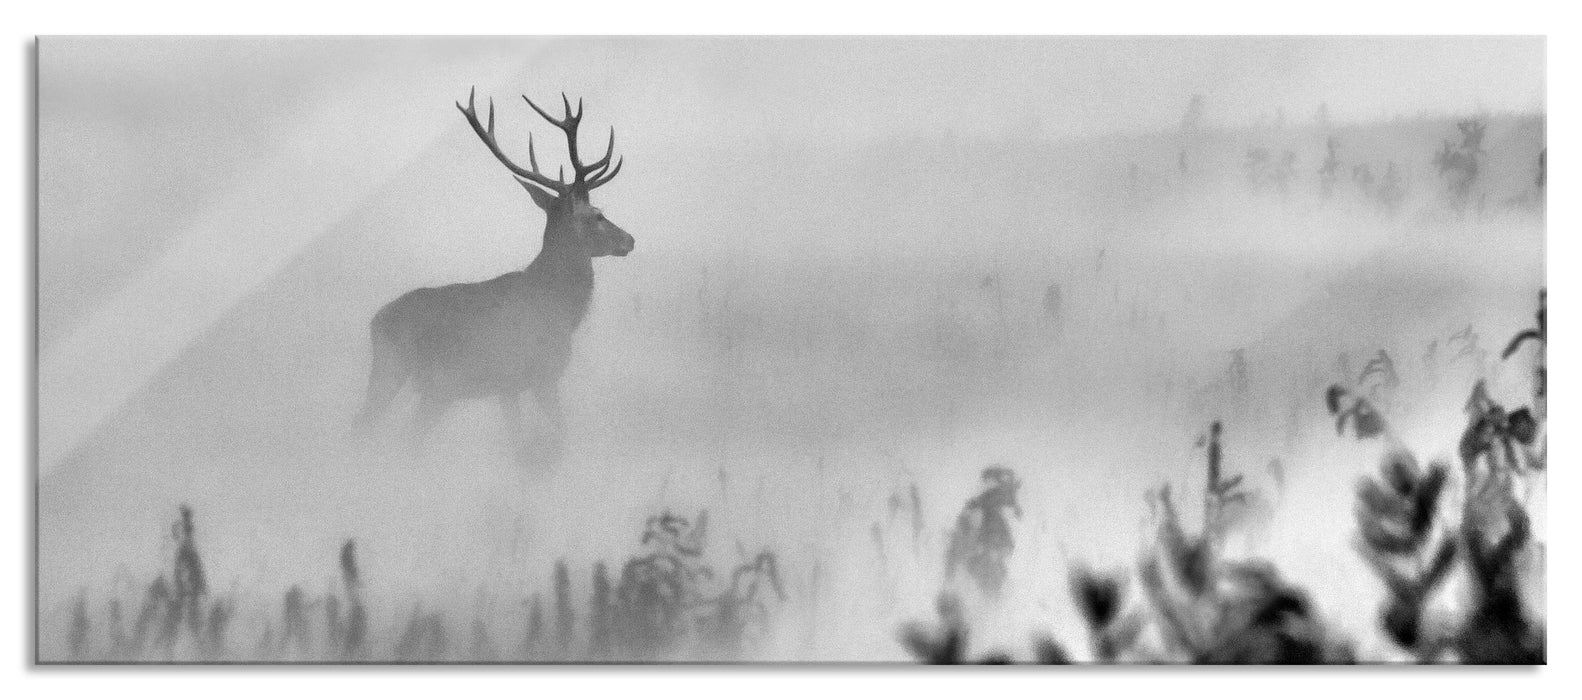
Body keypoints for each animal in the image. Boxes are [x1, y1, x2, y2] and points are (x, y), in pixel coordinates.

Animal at [355, 91, 632, 465]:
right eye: (597, 215)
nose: (629, 240)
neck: (560, 307)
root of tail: (375, 321)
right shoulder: (533, 374)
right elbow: (549, 439)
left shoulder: (513, 384)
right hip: (404, 370)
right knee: (373, 428)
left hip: (428, 386)